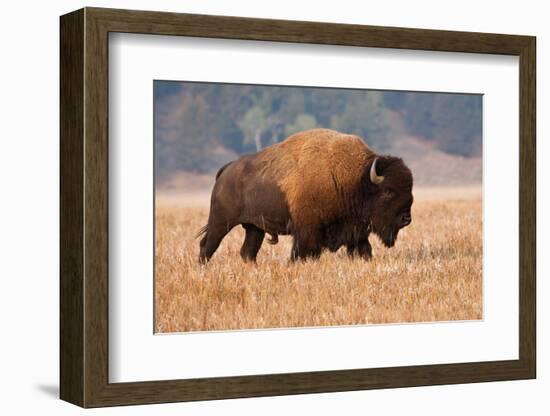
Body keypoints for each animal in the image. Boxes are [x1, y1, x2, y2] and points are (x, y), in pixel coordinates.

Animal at [198, 128, 414, 262]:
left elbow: (365, 251)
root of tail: (226, 170)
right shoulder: (307, 232)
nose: (406, 219)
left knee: (247, 253)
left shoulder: (356, 233)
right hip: (221, 221)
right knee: (207, 245)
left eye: (409, 189)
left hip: (254, 227)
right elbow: (301, 254)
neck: (356, 179)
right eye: (388, 191)